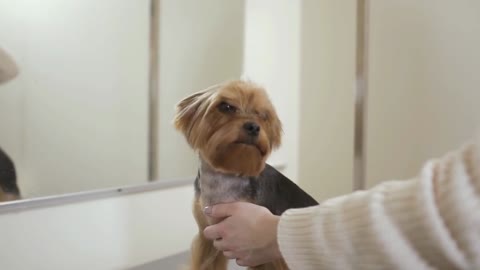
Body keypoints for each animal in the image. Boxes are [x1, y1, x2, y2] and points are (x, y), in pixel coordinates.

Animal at [173, 80, 318, 270]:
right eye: (226, 106)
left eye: (263, 115)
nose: (254, 126)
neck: (225, 175)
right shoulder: (207, 237)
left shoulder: (263, 255)